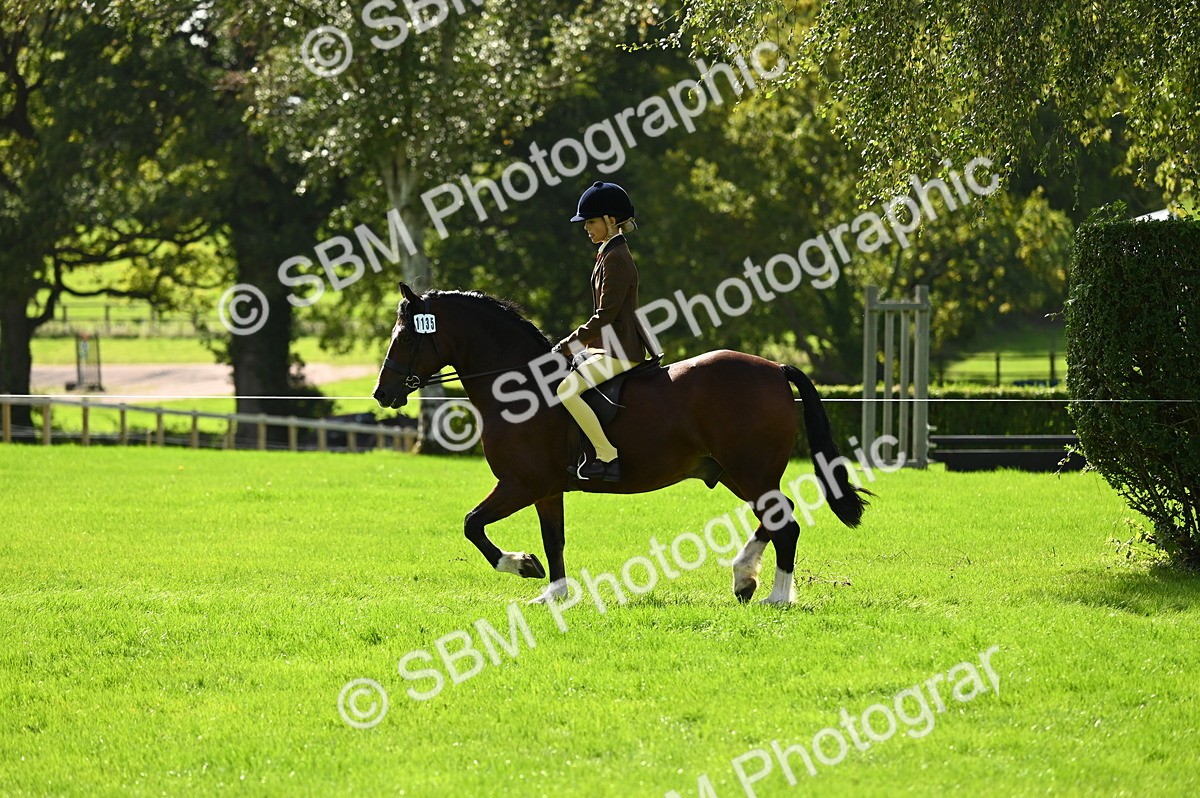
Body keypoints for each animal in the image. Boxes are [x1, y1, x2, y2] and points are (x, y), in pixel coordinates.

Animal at [372, 283, 870, 604]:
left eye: (406, 336)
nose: (382, 393)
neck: (518, 386)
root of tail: (774, 369)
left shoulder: (520, 484)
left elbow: (472, 525)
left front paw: (522, 565)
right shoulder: (546, 490)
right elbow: (554, 540)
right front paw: (553, 594)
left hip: (750, 470)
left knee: (785, 523)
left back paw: (776, 597)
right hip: (733, 471)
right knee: (776, 518)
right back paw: (744, 580)